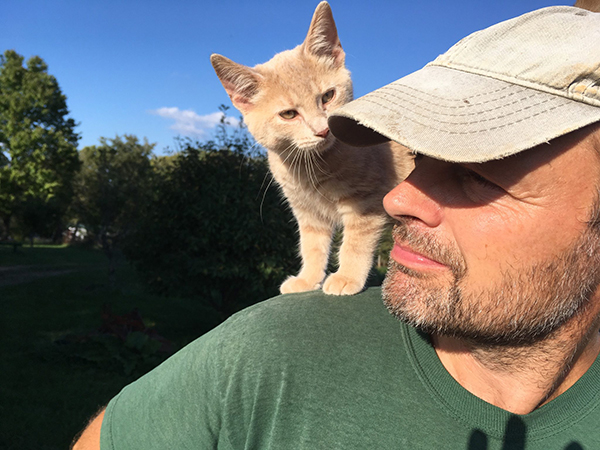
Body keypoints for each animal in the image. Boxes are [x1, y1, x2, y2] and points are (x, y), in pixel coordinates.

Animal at [210, 2, 412, 296]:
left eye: (328, 96)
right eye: (289, 114)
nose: (323, 129)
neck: (313, 166)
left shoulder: (367, 202)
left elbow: (355, 241)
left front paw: (347, 276)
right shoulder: (307, 212)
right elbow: (312, 246)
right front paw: (308, 279)